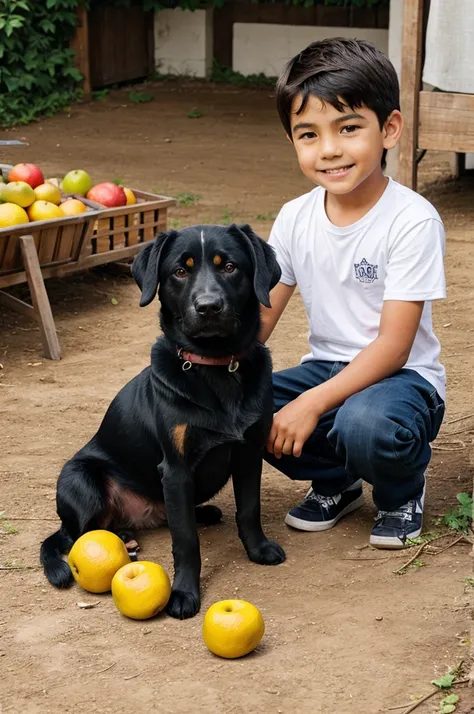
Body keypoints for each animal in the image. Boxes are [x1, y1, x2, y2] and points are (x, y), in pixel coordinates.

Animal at [40, 222, 286, 616]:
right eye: (180, 271)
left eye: (230, 267)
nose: (208, 307)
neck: (215, 368)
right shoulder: (176, 468)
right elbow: (185, 540)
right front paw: (184, 593)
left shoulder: (250, 453)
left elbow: (249, 509)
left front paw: (258, 549)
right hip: (80, 478)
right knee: (77, 534)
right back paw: (122, 539)